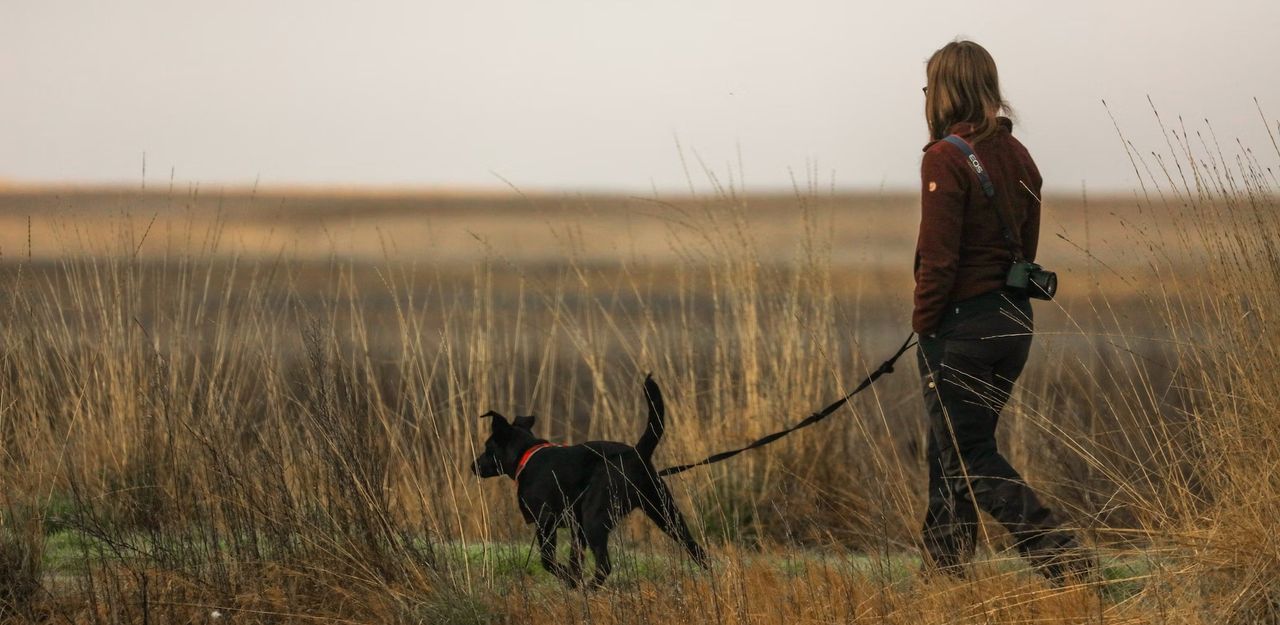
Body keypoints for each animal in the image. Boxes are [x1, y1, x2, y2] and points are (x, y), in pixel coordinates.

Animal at [473, 376, 711, 586]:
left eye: (487, 447)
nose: (472, 466)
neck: (527, 454)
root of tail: (637, 453)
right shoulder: (576, 528)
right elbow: (574, 560)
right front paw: (574, 581)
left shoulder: (546, 521)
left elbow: (548, 560)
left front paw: (569, 580)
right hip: (664, 512)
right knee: (697, 549)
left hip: (595, 518)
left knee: (605, 565)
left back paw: (592, 587)